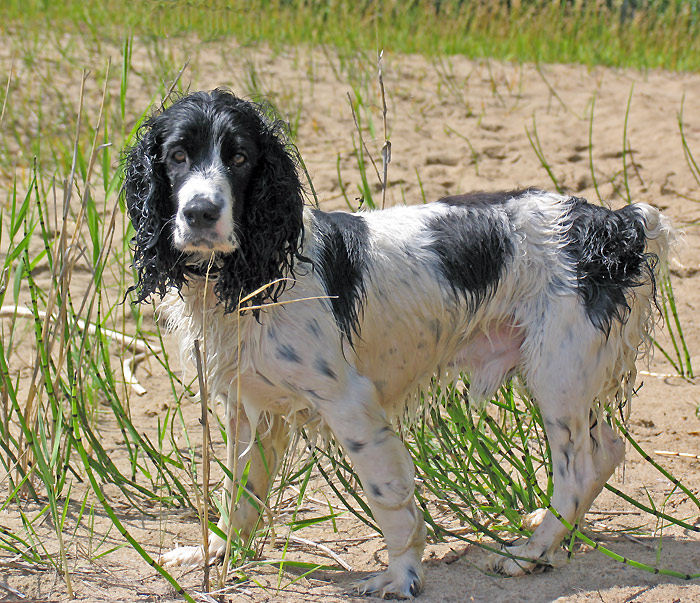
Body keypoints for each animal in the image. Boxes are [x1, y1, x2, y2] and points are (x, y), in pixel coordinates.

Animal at [123, 88, 676, 600]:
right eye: (177, 155)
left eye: (239, 157)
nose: (199, 212)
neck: (255, 273)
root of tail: (608, 223)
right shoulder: (248, 407)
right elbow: (237, 492)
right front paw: (212, 553)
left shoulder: (350, 404)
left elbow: (388, 499)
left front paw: (402, 576)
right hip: (566, 374)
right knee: (606, 449)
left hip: (556, 374)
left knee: (578, 470)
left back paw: (529, 554)